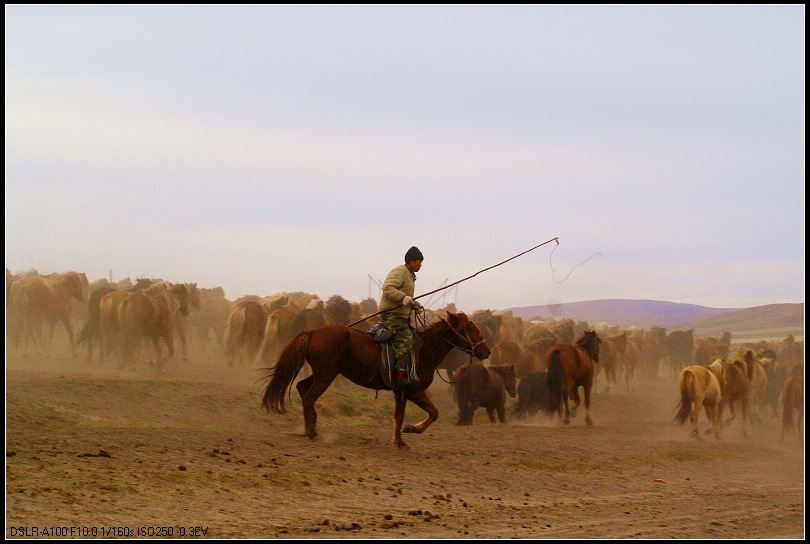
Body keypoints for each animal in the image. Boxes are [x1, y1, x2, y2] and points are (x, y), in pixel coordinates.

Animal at [260, 312, 486, 448]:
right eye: (471, 328)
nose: (487, 350)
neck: (425, 350)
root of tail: (313, 331)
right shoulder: (414, 391)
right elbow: (434, 413)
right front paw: (413, 429)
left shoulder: (401, 392)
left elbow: (399, 416)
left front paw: (399, 441)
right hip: (325, 375)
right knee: (308, 396)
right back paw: (311, 433)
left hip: (321, 373)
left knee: (301, 387)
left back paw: (313, 424)